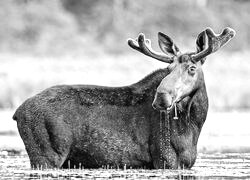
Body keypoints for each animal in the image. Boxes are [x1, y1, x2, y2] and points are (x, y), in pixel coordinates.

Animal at [12, 26, 234, 169]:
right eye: (168, 69)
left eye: (192, 68)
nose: (161, 98)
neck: (194, 124)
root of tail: (16, 112)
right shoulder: (165, 159)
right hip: (45, 156)